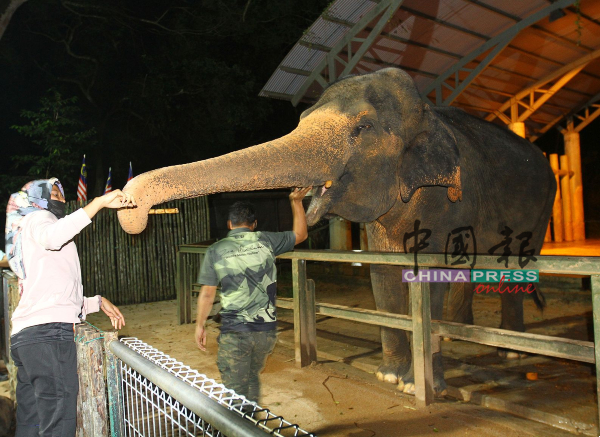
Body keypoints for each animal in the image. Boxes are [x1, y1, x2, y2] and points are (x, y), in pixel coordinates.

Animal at [118, 68, 556, 396]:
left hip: (540, 208)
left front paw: (418, 385)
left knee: (513, 266)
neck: (428, 113)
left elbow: (428, 274)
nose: (130, 210)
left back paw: (511, 351)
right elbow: (382, 276)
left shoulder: (445, 200)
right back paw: (458, 334)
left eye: (363, 127)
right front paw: (390, 376)